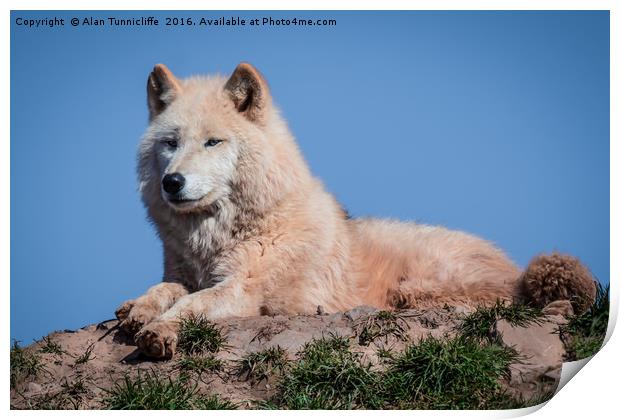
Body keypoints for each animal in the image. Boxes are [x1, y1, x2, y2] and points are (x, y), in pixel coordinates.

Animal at [115, 62, 596, 358]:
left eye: (213, 142)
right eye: (171, 143)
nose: (172, 182)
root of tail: (517, 269)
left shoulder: (243, 290)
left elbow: (193, 303)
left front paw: (159, 330)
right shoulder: (182, 272)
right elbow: (167, 289)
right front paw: (138, 309)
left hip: (425, 282)